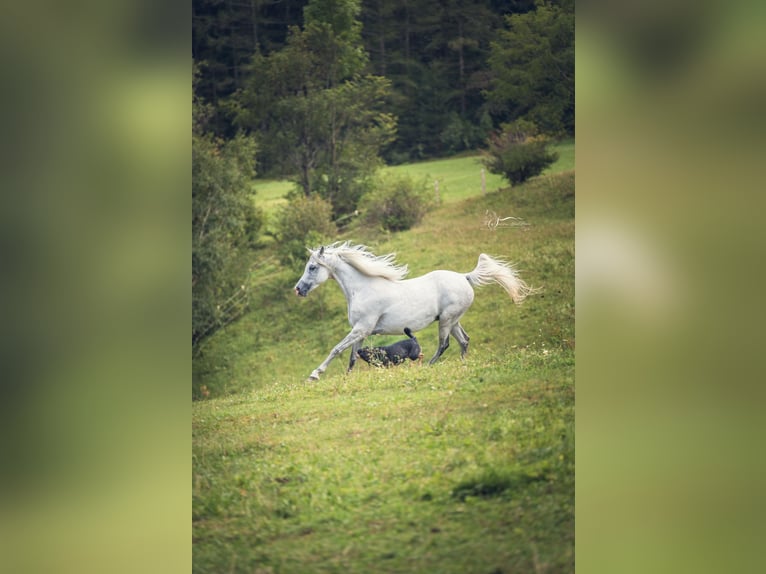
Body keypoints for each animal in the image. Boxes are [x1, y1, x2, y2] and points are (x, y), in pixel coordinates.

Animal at [294, 243, 536, 382]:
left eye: (312, 267)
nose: (298, 289)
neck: (362, 288)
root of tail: (464, 277)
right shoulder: (360, 331)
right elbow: (353, 356)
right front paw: (347, 378)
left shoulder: (362, 328)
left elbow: (336, 349)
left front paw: (314, 375)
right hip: (453, 320)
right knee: (464, 341)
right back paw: (463, 365)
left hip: (446, 320)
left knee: (444, 344)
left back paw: (429, 366)